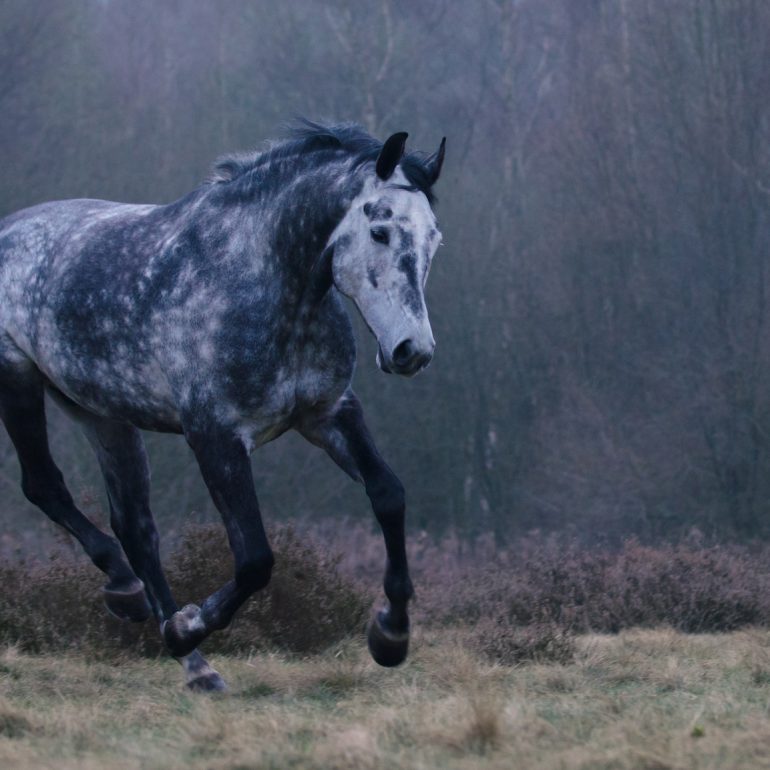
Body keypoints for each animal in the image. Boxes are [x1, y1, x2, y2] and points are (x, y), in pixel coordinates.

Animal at [0, 121, 445, 691]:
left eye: (433, 237)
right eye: (381, 231)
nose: (412, 352)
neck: (264, 280)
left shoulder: (328, 413)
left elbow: (388, 495)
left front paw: (391, 635)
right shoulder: (215, 437)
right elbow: (255, 559)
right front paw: (186, 626)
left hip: (103, 414)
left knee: (136, 526)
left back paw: (183, 652)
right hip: (17, 379)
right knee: (45, 486)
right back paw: (143, 604)